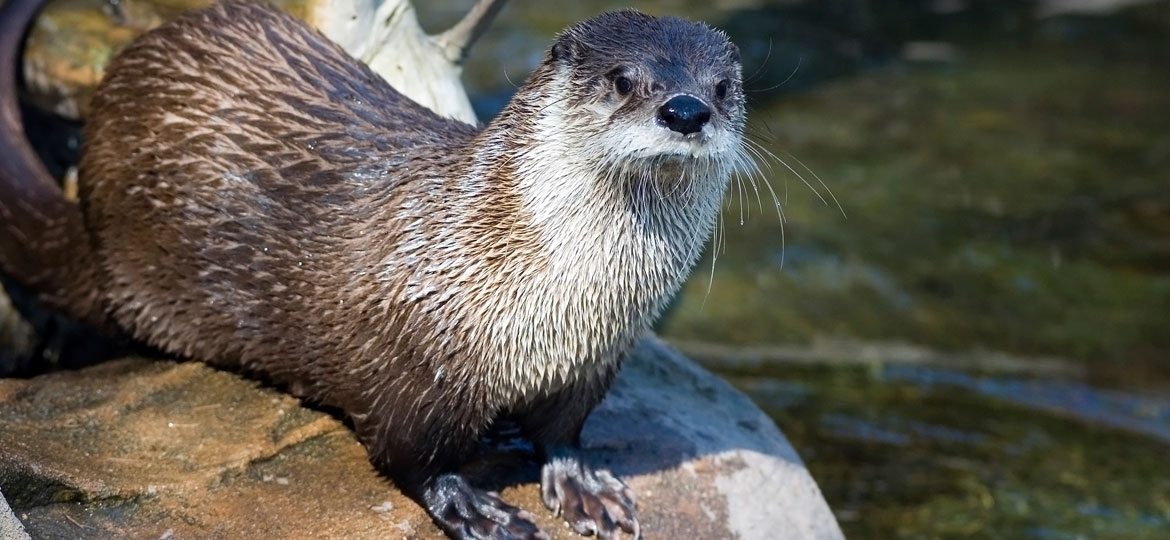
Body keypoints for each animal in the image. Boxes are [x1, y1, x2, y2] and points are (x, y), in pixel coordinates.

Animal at [0, 1, 745, 538]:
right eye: (623, 81)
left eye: (723, 87)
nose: (686, 111)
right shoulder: (414, 363)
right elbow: (408, 456)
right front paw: (472, 506)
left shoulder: (593, 362)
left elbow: (562, 433)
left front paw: (583, 484)